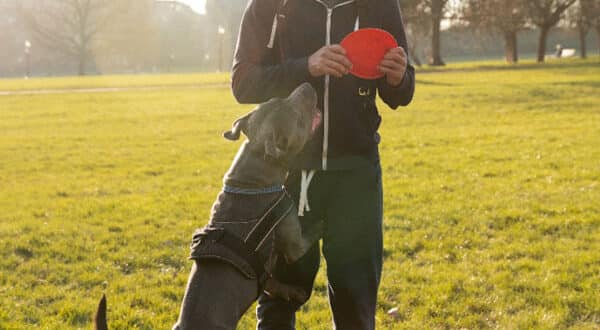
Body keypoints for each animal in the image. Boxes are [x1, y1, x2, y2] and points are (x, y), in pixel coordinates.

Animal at [95, 84, 324, 330]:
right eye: (298, 118)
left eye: (279, 97)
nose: (308, 86)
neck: (251, 181)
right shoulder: (294, 243)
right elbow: (312, 231)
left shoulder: (268, 275)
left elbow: (276, 285)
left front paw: (295, 292)